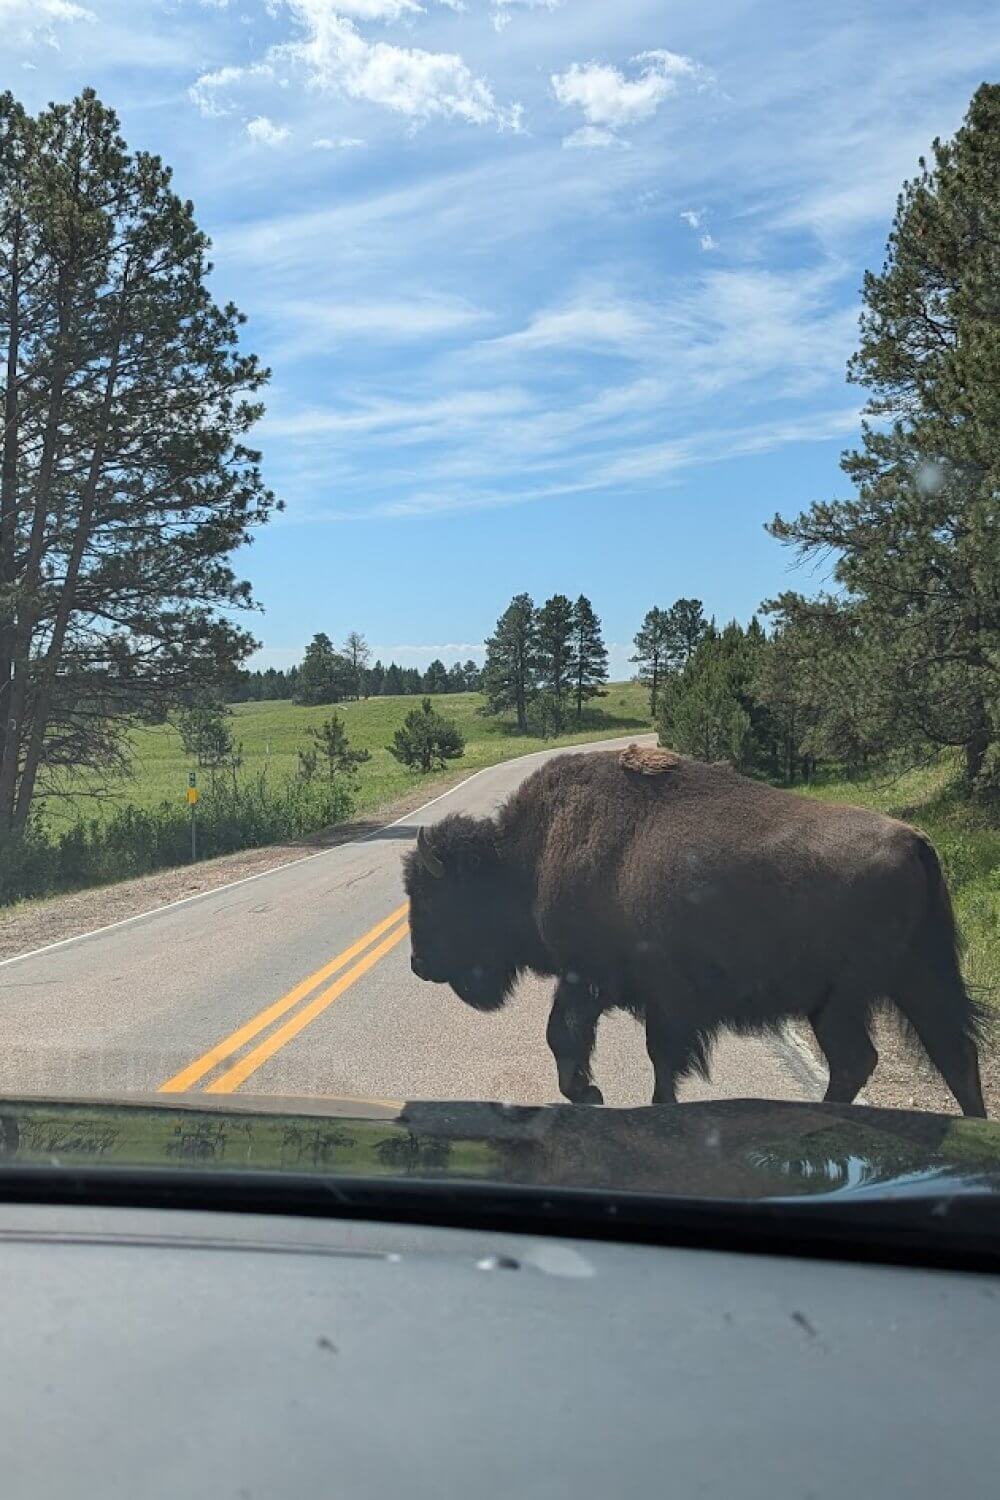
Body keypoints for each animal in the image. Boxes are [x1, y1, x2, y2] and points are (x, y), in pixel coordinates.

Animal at [401, 744, 989, 1122]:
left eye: (431, 898)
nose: (418, 965)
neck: (526, 857)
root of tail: (916, 841)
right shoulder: (644, 996)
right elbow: (647, 1054)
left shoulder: (595, 979)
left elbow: (575, 1037)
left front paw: (592, 1094)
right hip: (914, 980)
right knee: (951, 1054)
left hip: (843, 999)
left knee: (862, 1059)